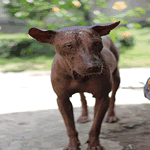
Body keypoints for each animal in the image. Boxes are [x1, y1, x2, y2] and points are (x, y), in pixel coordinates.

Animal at [28, 20, 120, 150]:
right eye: (68, 46)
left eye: (97, 43)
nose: (94, 67)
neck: (79, 76)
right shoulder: (62, 99)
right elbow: (70, 127)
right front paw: (73, 145)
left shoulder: (102, 97)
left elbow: (96, 126)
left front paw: (94, 144)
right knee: (82, 97)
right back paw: (84, 116)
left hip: (116, 77)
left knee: (113, 97)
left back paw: (111, 115)